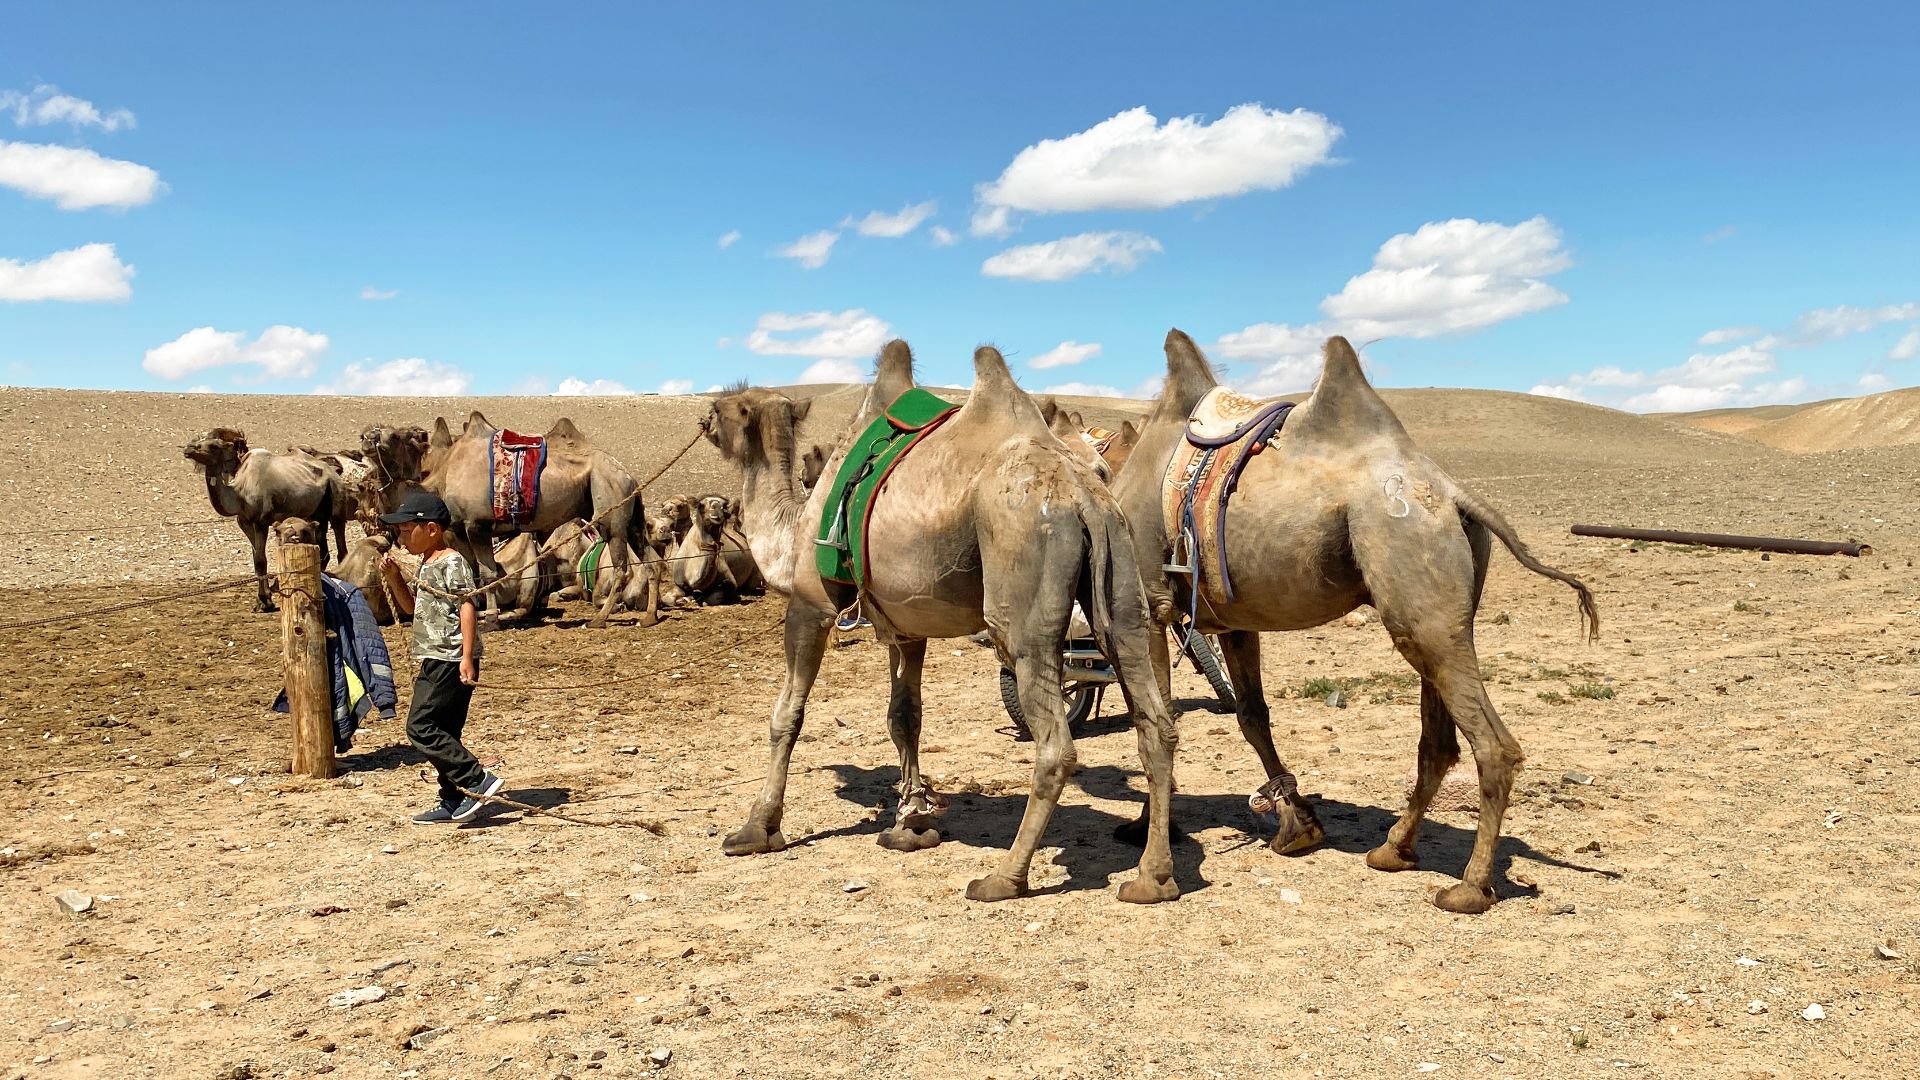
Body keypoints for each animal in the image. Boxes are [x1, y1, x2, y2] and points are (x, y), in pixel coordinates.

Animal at [184, 428, 352, 611]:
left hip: (336, 504)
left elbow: (260, 560)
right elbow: (256, 559)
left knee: (341, 546)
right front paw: (261, 601)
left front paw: (266, 601)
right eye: (198, 440)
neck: (239, 493)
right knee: (322, 549)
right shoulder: (244, 522)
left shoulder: (261, 522)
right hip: (314, 513)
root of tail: (333, 471)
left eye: (213, 446)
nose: (188, 448)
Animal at [702, 340, 1181, 905]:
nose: (704, 418)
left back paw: (1004, 878)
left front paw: (757, 829)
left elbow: (787, 717)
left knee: (1055, 743)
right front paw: (910, 824)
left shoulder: (809, 605)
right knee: (1155, 721)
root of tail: (1081, 493)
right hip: (1124, 585)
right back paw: (1153, 878)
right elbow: (904, 717)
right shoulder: (906, 627)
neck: (793, 526)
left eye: (727, 406)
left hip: (1020, 588)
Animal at [1108, 332, 1599, 914]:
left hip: (1411, 580)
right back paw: (1394, 850)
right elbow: (1251, 716)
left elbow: (1154, 724)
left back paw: (1469, 887)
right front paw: (1298, 828)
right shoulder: (1233, 619)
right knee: (1439, 740)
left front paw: (1149, 866)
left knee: (1493, 746)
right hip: (1438, 612)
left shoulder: (1146, 605)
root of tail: (1451, 493)